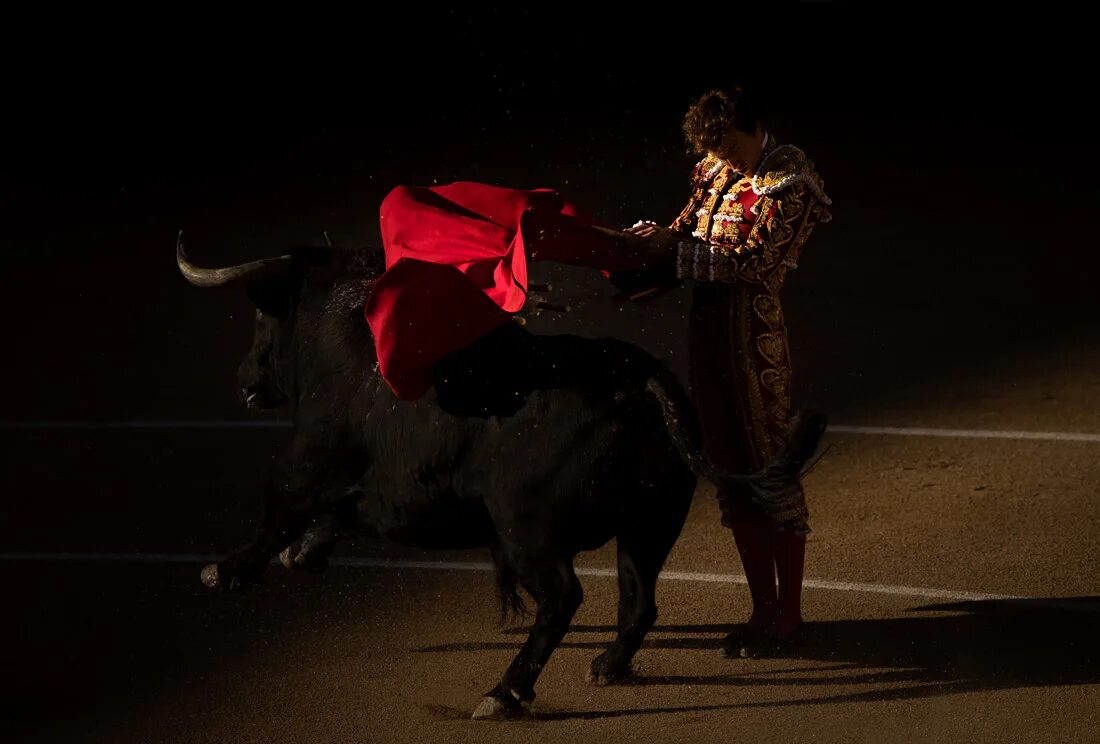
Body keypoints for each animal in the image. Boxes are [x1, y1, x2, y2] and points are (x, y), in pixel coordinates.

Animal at [176, 235, 827, 717]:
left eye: (264, 314)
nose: (244, 379)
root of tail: (640, 379)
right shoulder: (379, 493)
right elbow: (335, 514)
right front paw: (304, 554)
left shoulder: (307, 459)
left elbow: (279, 509)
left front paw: (224, 572)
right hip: (650, 523)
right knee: (638, 599)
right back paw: (607, 667)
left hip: (526, 527)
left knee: (563, 597)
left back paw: (504, 692)